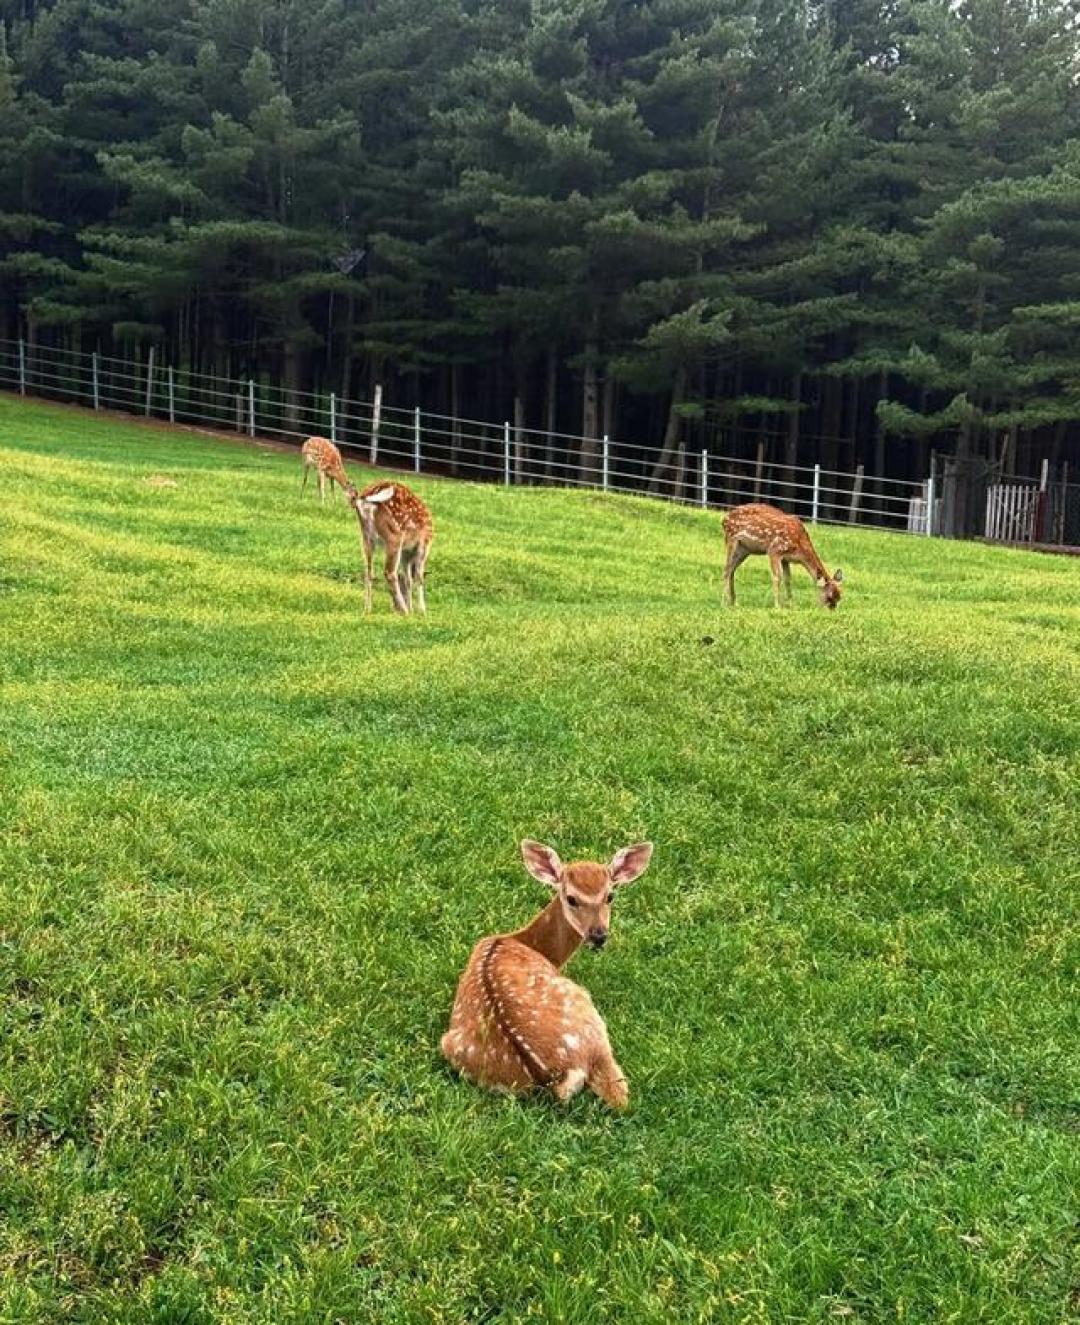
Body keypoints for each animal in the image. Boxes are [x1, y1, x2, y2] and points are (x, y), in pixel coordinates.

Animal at [346, 479, 434, 615]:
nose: (394, 608)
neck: (409, 554)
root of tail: (364, 499)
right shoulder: (423, 544)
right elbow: (418, 577)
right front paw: (422, 611)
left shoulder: (405, 554)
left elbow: (407, 579)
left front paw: (411, 608)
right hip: (394, 536)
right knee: (389, 573)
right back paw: (405, 611)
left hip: (366, 537)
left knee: (368, 571)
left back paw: (367, 608)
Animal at [441, 839, 654, 1109]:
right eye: (571, 898)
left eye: (610, 896)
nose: (599, 936)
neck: (526, 943)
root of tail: (554, 1077)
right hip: (592, 1026)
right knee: (619, 1097)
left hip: (450, 1045)